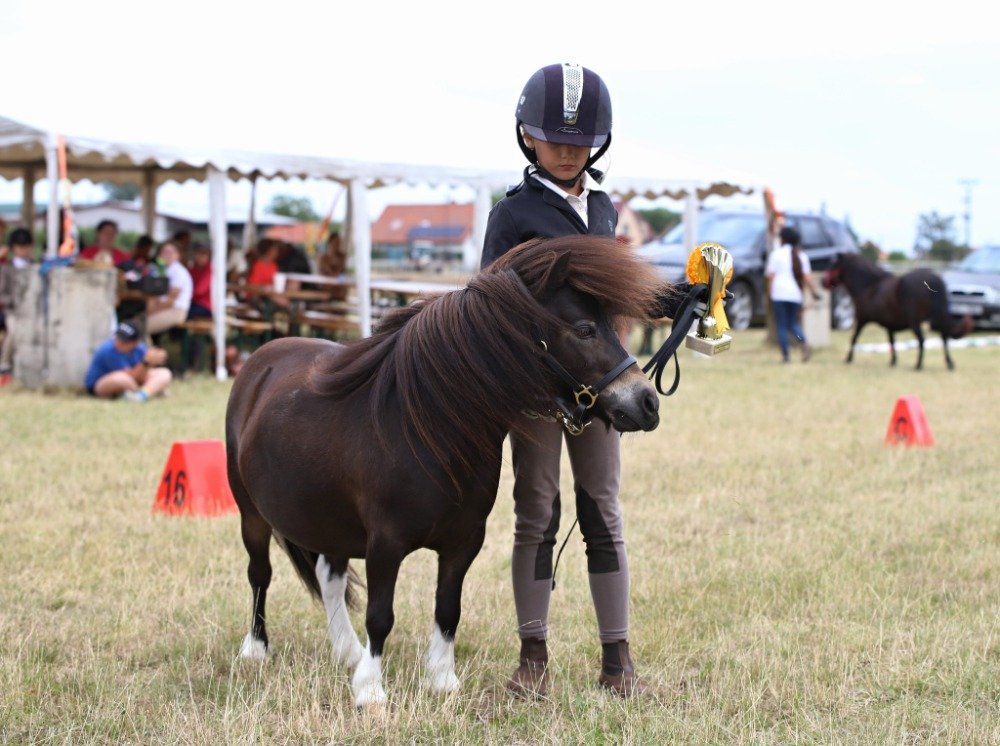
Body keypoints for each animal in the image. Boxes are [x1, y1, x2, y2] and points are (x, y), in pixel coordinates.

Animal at [227, 235, 664, 708]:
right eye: (585, 329)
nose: (647, 402)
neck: (425, 426)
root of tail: (263, 358)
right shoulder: (385, 543)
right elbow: (380, 615)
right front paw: (371, 690)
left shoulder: (462, 543)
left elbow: (447, 608)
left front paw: (440, 679)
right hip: (252, 515)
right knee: (260, 575)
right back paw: (256, 649)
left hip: (331, 521)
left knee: (329, 576)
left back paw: (346, 651)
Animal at [824, 253, 972, 370]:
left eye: (833, 266)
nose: (822, 281)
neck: (869, 287)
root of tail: (934, 279)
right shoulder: (890, 325)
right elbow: (892, 342)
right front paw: (893, 361)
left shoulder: (862, 319)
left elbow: (854, 338)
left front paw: (848, 358)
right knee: (944, 336)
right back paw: (949, 363)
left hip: (915, 321)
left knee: (922, 340)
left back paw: (918, 365)